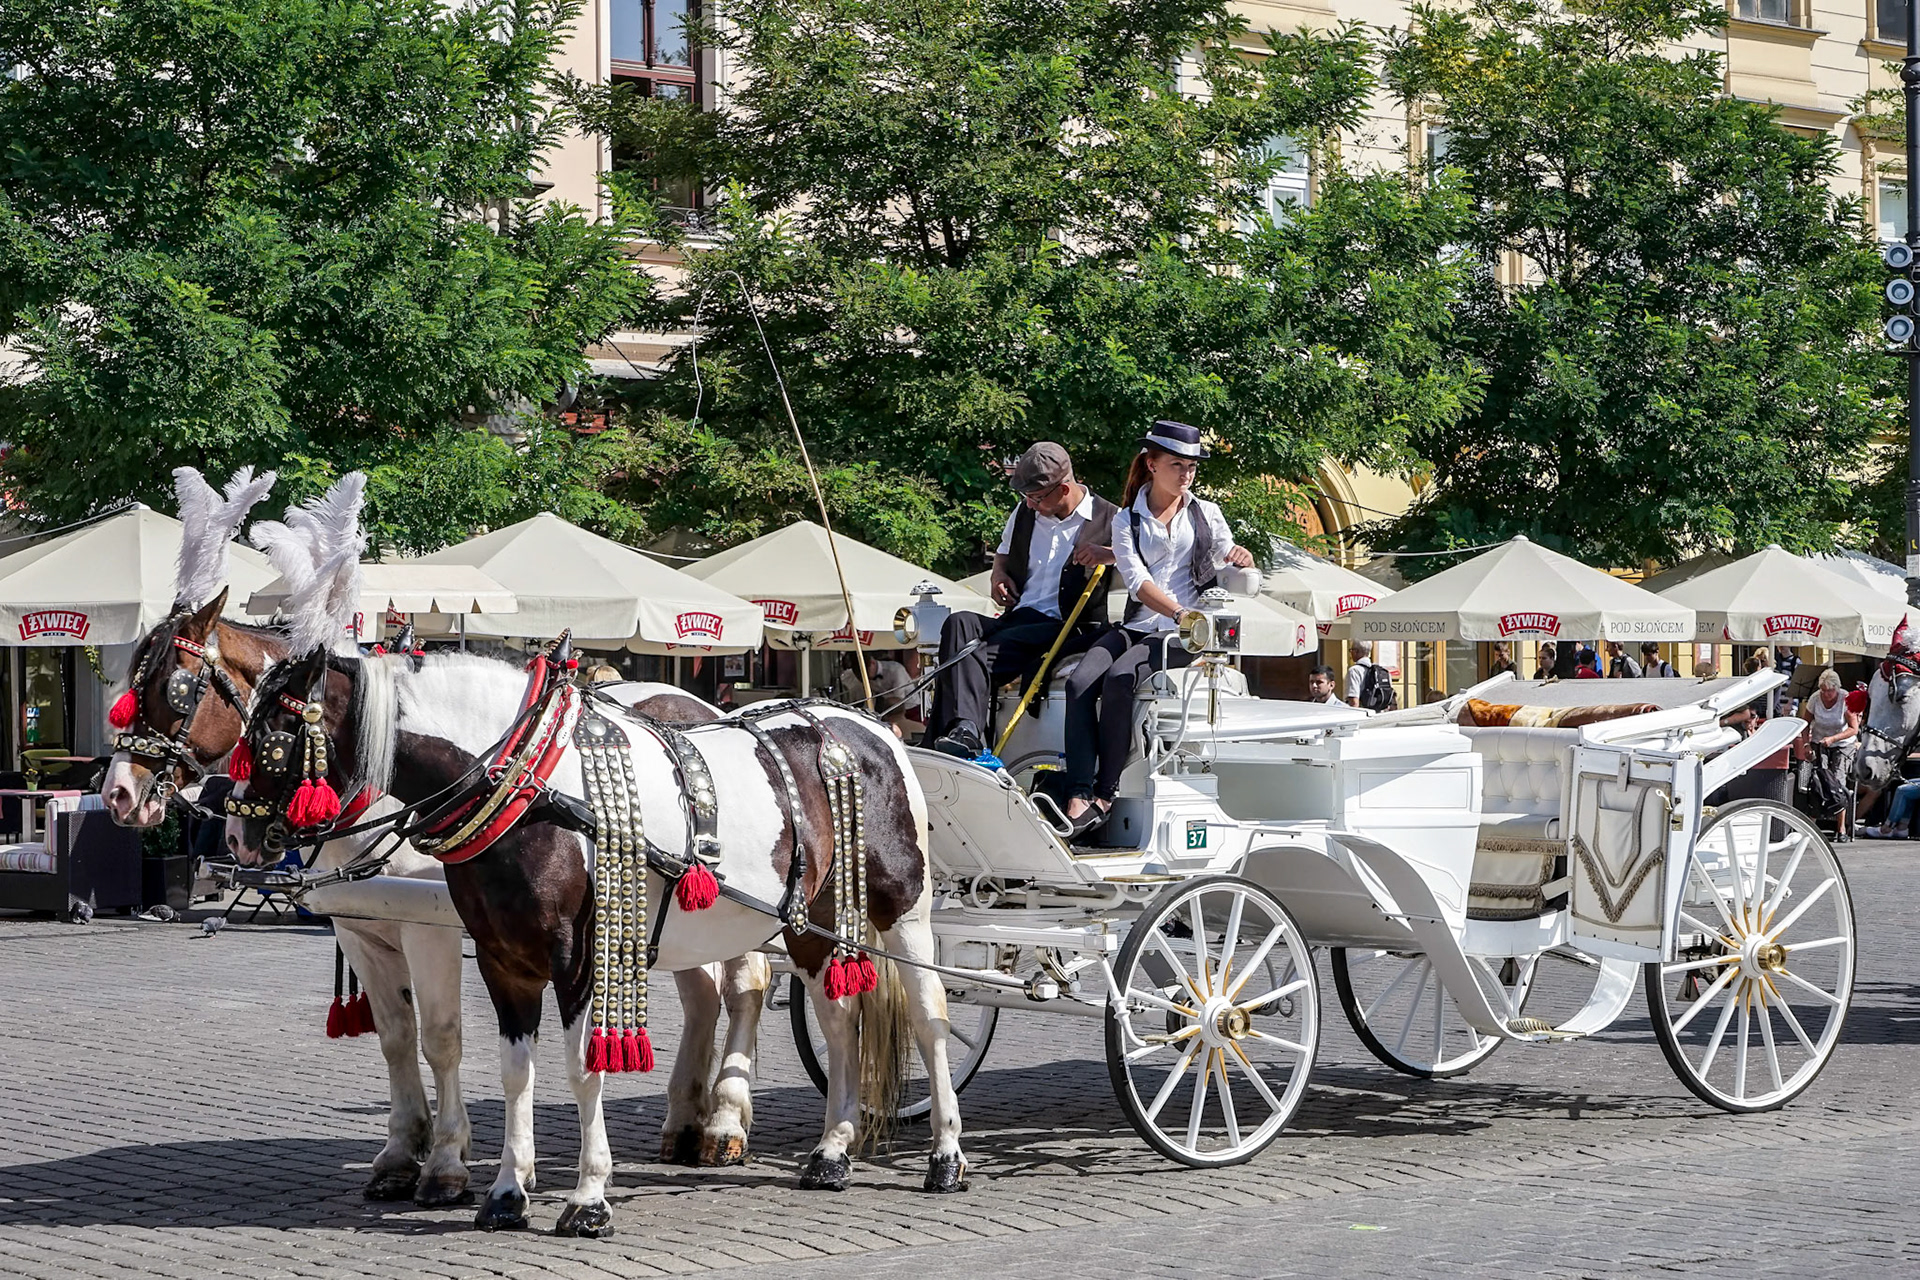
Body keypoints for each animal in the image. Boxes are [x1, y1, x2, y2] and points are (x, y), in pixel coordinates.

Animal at [225, 647, 964, 1236]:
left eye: (274, 733)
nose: (235, 831)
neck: (534, 789)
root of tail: (864, 724)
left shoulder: (577, 955)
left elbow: (581, 1068)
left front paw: (586, 1198)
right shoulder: (503, 959)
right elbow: (514, 1070)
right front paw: (506, 1193)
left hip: (904, 912)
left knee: (930, 1018)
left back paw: (945, 1157)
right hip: (808, 920)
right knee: (839, 1022)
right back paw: (831, 1151)